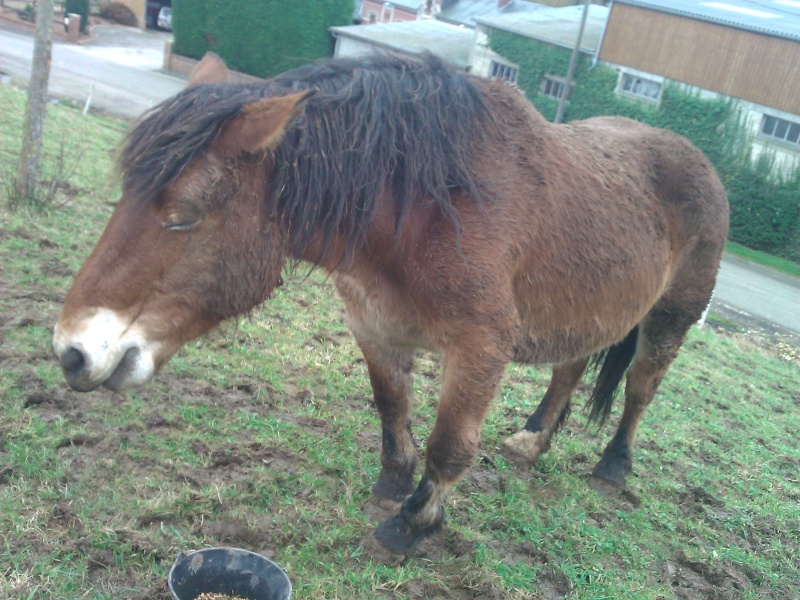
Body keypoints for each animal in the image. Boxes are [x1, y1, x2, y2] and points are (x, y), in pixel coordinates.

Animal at [51, 51, 724, 556]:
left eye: (183, 218)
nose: (71, 352)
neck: (426, 208)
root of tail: (700, 160)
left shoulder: (481, 347)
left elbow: (450, 444)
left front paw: (412, 523)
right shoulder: (375, 327)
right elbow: (391, 404)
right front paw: (391, 485)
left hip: (670, 318)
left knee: (640, 389)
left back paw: (613, 466)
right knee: (570, 367)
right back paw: (532, 441)